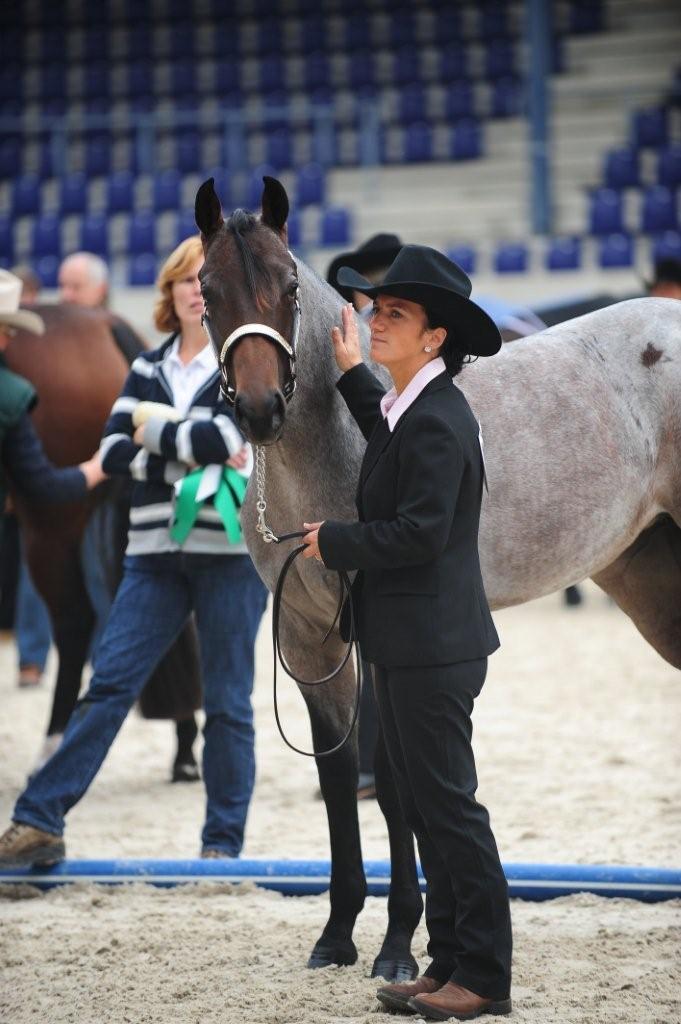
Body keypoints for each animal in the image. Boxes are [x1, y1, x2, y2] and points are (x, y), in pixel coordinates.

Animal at [195, 174, 681, 980]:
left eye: (289, 285)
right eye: (208, 290)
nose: (261, 410)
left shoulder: (381, 641)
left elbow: (396, 788)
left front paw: (397, 947)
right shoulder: (308, 638)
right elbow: (338, 782)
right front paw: (335, 935)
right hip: (648, 578)